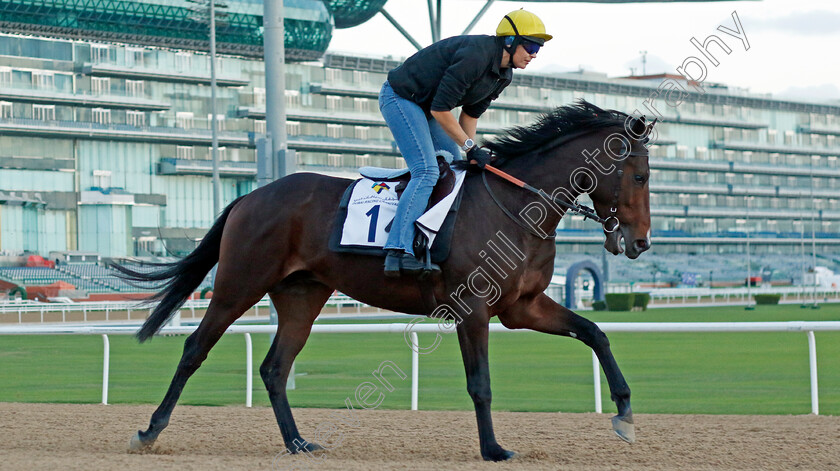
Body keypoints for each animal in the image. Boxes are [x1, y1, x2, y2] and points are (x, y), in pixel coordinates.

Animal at [120, 101, 656, 462]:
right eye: (640, 176)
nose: (640, 242)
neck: (516, 206)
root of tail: (251, 197)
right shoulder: (473, 309)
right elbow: (480, 383)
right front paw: (493, 448)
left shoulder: (522, 306)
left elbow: (595, 333)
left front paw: (625, 415)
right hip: (239, 284)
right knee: (195, 348)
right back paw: (149, 431)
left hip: (301, 295)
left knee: (274, 368)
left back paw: (297, 442)